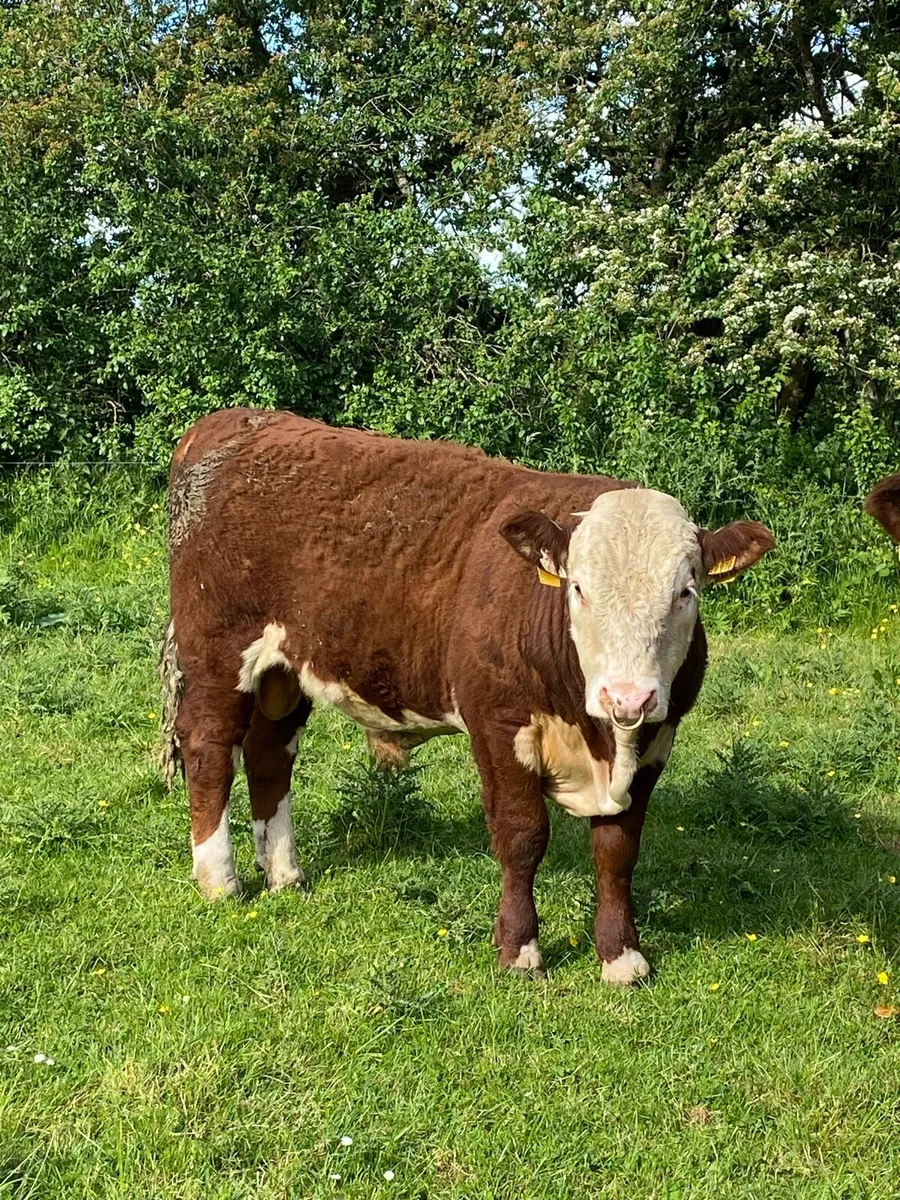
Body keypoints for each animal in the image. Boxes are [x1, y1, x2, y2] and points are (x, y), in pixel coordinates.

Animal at [161, 409, 774, 985]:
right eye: (578, 588)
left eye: (686, 591)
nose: (627, 696)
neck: (600, 744)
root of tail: (234, 421)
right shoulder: (500, 725)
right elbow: (523, 836)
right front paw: (520, 952)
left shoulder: (655, 740)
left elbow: (618, 850)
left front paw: (622, 958)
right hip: (218, 649)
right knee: (210, 749)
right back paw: (220, 879)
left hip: (286, 669)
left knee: (270, 754)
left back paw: (285, 875)